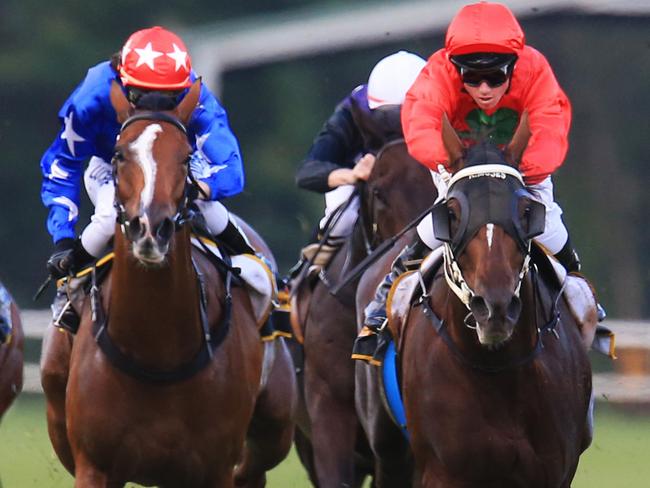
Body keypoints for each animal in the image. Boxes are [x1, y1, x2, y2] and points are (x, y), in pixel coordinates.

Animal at [39, 80, 294, 488]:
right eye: (120, 154)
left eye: (186, 156)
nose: (150, 228)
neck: (157, 349)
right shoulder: (93, 465)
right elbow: (63, 158)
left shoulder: (215, 468)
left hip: (275, 428)